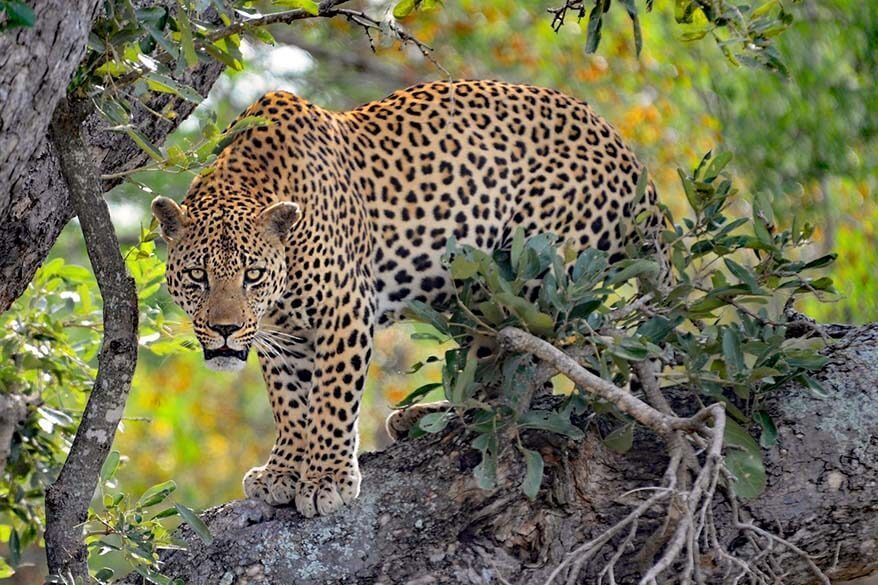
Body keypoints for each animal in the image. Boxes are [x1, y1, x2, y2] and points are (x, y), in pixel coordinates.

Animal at [151, 77, 660, 516]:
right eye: (197, 276)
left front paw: (325, 479)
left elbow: (331, 398)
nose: (225, 329)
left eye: (253, 275)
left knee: (518, 377)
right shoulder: (283, 334)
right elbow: (290, 401)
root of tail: (631, 159)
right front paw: (284, 470)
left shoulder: (344, 309)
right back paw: (424, 418)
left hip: (529, 271)